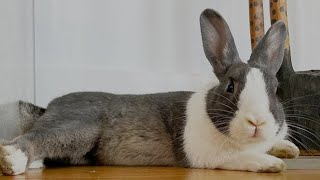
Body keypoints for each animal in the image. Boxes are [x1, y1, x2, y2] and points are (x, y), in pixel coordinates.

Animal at [0, 8, 300, 176]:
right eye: (230, 86)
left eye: (275, 90)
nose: (257, 121)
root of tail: (50, 107)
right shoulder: (207, 155)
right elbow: (239, 157)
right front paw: (271, 163)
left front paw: (289, 149)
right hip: (78, 128)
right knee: (32, 138)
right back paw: (13, 160)